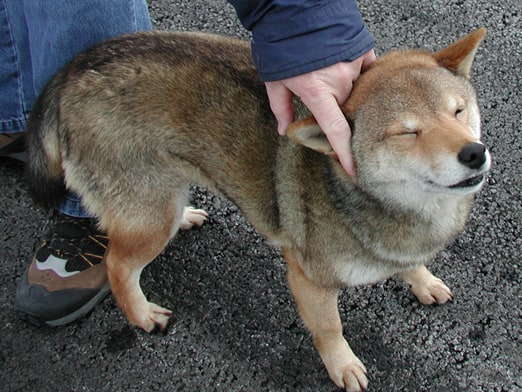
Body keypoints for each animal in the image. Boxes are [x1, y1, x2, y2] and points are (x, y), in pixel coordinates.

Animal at [25, 28, 488, 392]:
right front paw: (343, 366)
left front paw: (422, 280)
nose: (474, 153)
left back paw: (186, 216)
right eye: (407, 133)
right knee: (117, 264)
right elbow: (329, 328)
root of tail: (72, 69)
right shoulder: (307, 278)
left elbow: (409, 264)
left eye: (457, 110)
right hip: (148, 218)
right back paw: (140, 313)